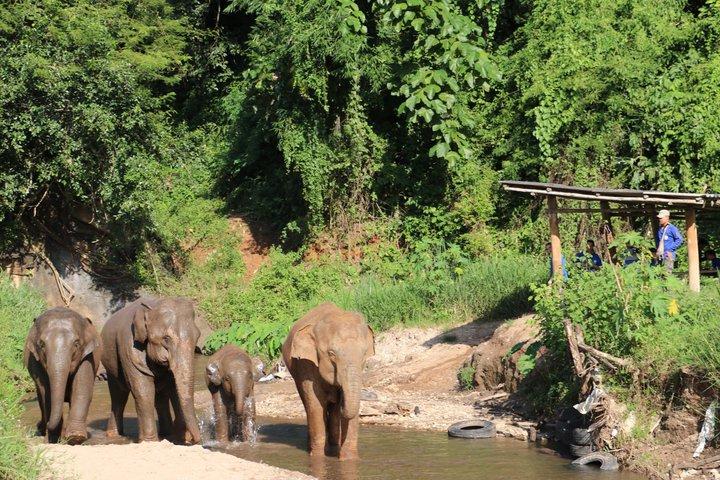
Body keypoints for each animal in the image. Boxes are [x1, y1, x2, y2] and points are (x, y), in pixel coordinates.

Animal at [23, 307, 102, 444]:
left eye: (76, 343)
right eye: (42, 344)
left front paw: (75, 437)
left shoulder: (87, 356)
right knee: (41, 397)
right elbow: (47, 392)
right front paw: (54, 437)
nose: (41, 424)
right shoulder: (36, 361)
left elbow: (82, 388)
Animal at [101, 296, 202, 444]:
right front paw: (149, 442)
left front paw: (180, 436)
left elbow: (174, 389)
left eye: (197, 337)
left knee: (161, 397)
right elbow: (143, 391)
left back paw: (166, 433)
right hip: (111, 365)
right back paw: (114, 436)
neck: (154, 305)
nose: (193, 439)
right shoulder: (129, 346)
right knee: (119, 396)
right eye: (166, 338)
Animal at [282, 302, 375, 460]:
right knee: (309, 406)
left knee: (333, 411)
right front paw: (317, 458)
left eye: (363, 354)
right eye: (331, 354)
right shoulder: (306, 363)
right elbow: (315, 403)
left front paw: (349, 460)